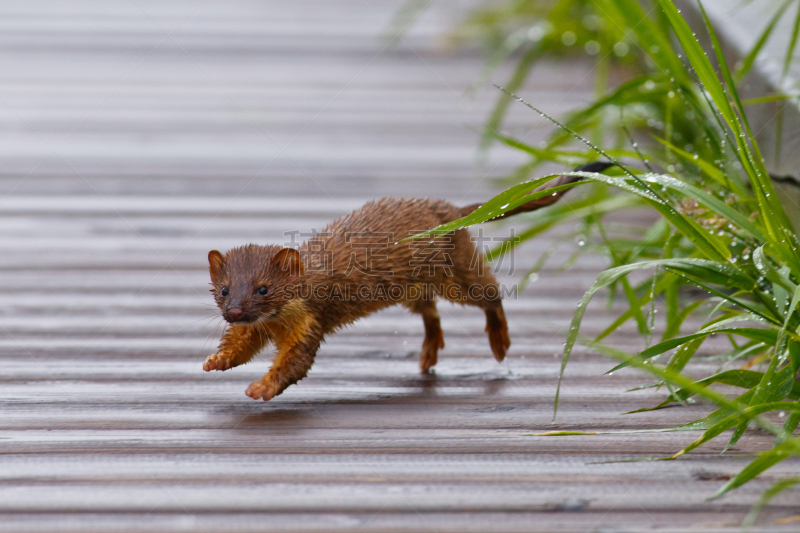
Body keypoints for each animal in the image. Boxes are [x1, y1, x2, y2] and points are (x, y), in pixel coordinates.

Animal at [205, 162, 612, 400]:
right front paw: (215, 361)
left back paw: (499, 343)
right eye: (225, 290)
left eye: (263, 288)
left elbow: (294, 364)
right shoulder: (254, 328)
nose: (235, 311)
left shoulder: (310, 322)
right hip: (412, 288)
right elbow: (239, 346)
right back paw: (429, 352)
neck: (275, 324)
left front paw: (260, 386)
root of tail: (451, 209)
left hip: (457, 273)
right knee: (430, 312)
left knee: (490, 294)